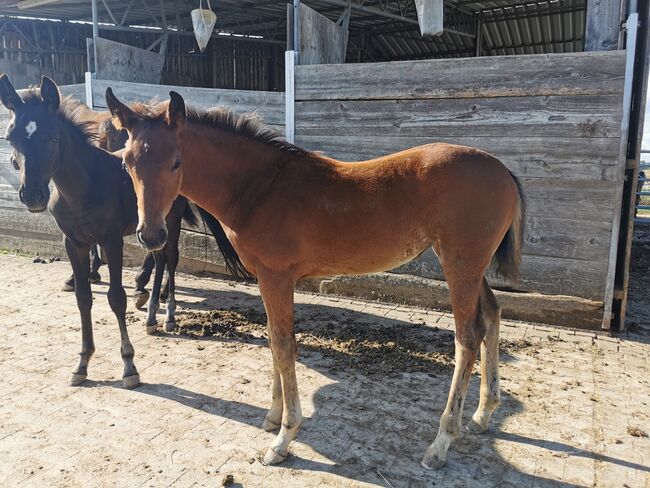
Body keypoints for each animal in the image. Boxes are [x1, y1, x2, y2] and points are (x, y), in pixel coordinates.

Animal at [0, 76, 247, 386]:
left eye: (52, 138)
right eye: (11, 138)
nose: (32, 195)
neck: (83, 188)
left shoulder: (112, 240)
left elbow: (116, 298)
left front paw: (129, 366)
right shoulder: (74, 242)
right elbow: (83, 298)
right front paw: (82, 363)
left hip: (169, 219)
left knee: (170, 257)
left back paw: (167, 314)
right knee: (158, 257)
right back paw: (151, 313)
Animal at [106, 89, 520, 468]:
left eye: (176, 162)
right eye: (126, 163)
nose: (151, 236)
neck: (260, 188)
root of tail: (503, 172)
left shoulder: (277, 276)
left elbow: (284, 345)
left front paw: (284, 439)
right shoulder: (266, 278)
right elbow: (273, 339)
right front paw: (272, 418)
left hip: (460, 265)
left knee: (467, 339)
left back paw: (441, 443)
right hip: (471, 267)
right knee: (493, 316)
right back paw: (483, 414)